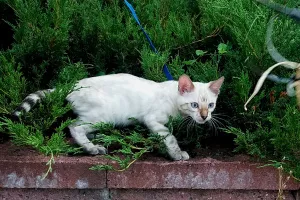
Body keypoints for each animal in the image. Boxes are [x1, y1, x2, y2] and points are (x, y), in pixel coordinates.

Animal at [12, 73, 224, 161]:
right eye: (194, 105)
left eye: (210, 105)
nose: (204, 117)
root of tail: (70, 86)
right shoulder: (153, 120)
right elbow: (170, 138)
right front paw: (177, 154)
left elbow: (165, 138)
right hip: (103, 116)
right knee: (74, 127)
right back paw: (92, 148)